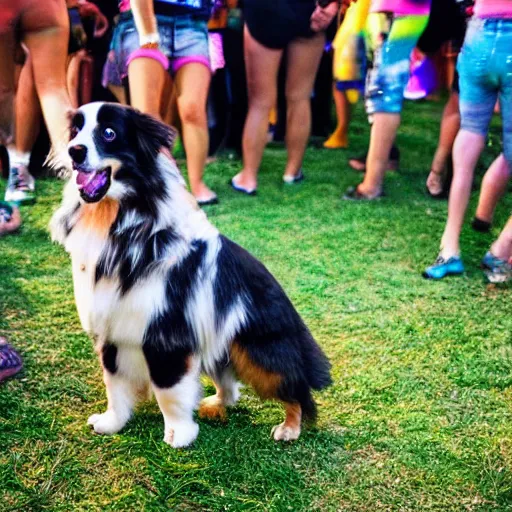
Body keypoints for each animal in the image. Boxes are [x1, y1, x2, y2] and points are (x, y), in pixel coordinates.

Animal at [51, 102, 332, 446]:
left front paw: (179, 435)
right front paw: (111, 423)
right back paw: (214, 403)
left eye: (109, 133)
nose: (74, 151)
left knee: (296, 387)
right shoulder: (112, 325)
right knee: (230, 384)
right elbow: (114, 384)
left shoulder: (165, 333)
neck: (119, 221)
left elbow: (168, 390)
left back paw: (290, 427)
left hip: (257, 351)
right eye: (75, 131)